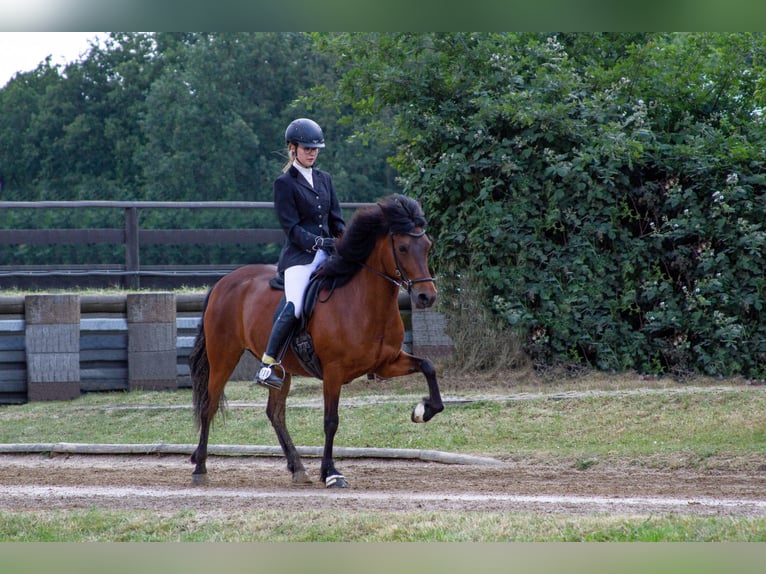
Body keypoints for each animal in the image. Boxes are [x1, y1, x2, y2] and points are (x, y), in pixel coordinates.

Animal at [188, 195, 448, 490]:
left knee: (275, 413)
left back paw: (298, 468)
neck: (363, 301)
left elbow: (428, 366)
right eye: (402, 247)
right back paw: (200, 468)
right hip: (223, 356)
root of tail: (223, 282)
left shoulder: (386, 363)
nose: (427, 296)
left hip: (281, 370)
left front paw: (423, 410)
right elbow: (330, 421)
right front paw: (331, 472)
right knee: (209, 405)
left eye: (426, 245)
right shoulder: (334, 372)